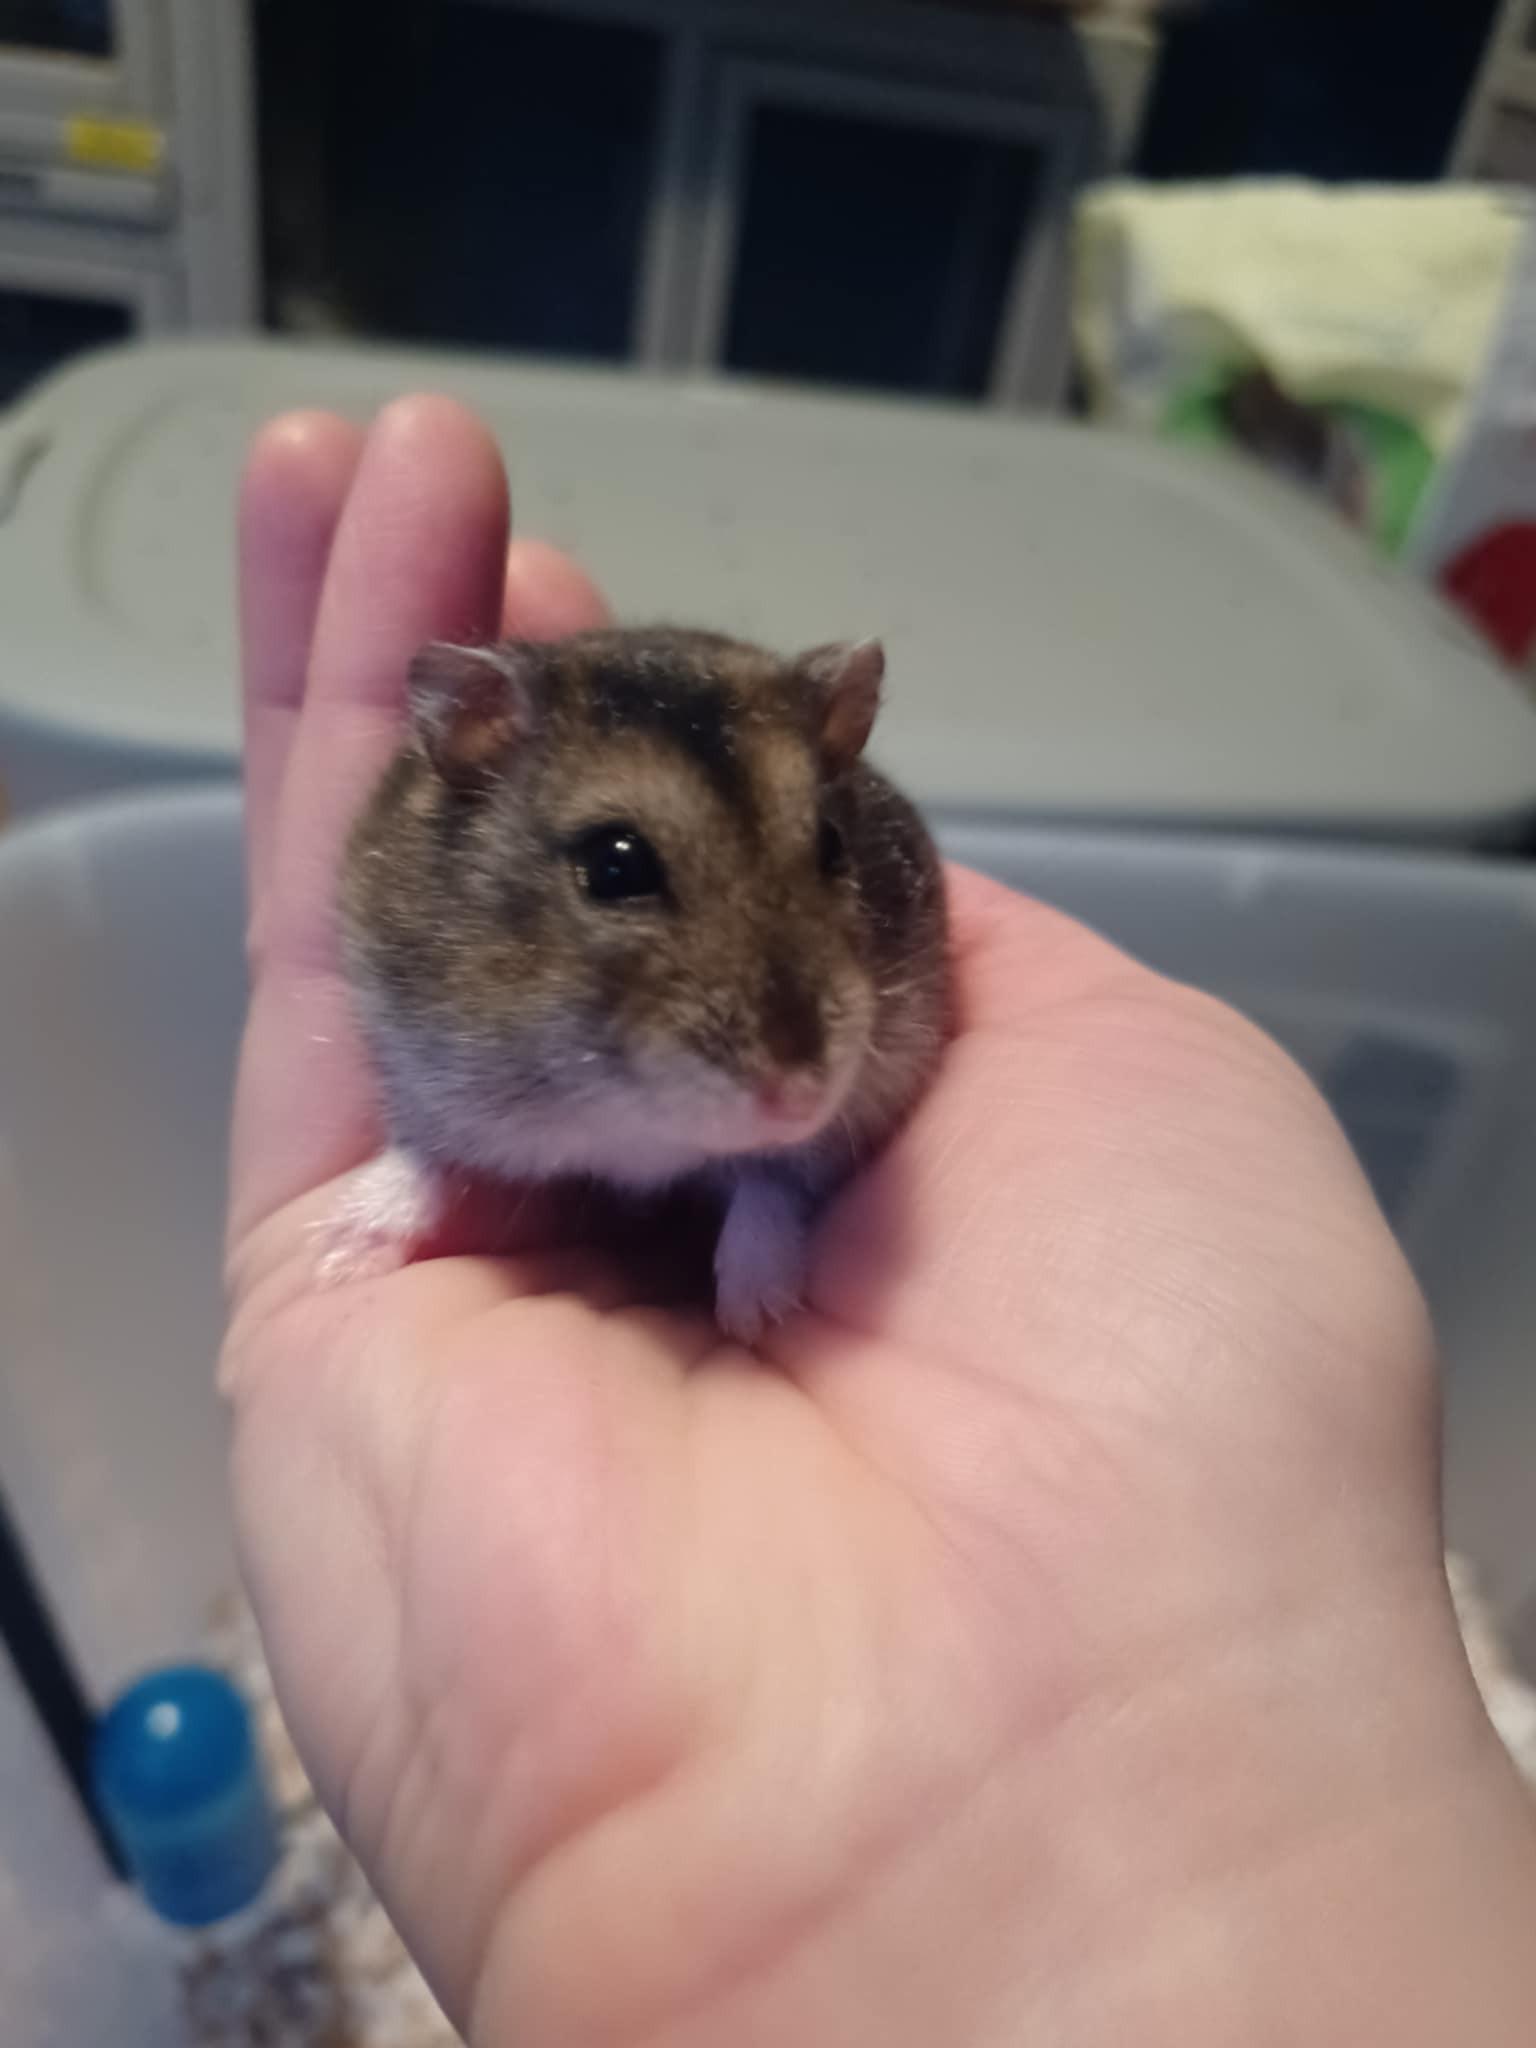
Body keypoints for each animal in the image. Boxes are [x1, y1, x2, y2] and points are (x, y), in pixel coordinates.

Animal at [335, 626, 950, 1343]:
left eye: (833, 845)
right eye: (614, 864)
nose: (800, 1098)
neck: (630, 1115)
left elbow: (771, 1187)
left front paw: (754, 1318)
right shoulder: (416, 1062)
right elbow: (423, 1158)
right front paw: (336, 1258)